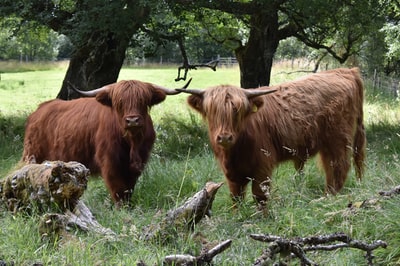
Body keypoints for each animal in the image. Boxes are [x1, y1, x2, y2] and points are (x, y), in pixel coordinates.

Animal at [22, 78, 191, 204]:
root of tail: (39, 110)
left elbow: (129, 187)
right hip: (33, 154)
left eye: (143, 101)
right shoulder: (109, 161)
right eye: (120, 103)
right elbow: (118, 188)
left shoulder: (139, 161)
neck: (132, 143)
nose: (133, 120)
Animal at [178, 68, 366, 208]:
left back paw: (329, 198)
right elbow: (236, 198)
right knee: (331, 169)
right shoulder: (231, 173)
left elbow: (260, 195)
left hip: (338, 140)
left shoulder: (263, 166)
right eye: (212, 112)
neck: (235, 152)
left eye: (237, 111)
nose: (224, 137)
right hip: (328, 145)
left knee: (339, 167)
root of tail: (345, 71)